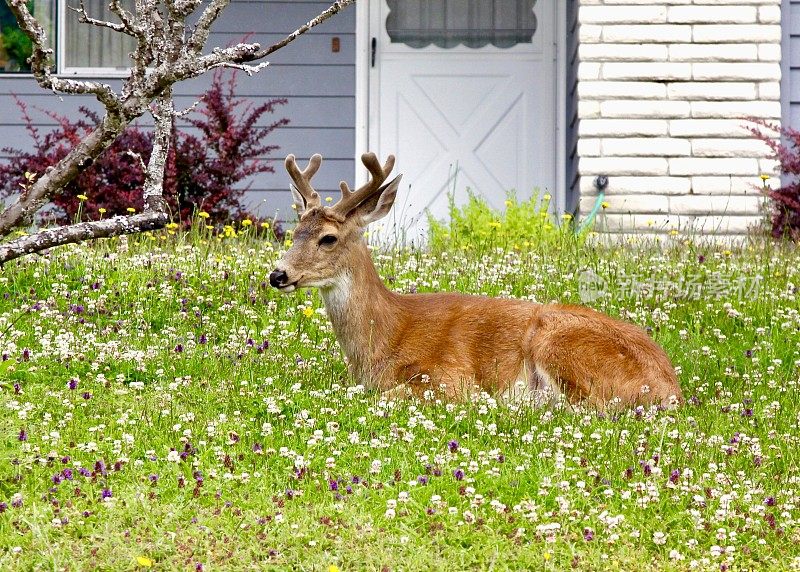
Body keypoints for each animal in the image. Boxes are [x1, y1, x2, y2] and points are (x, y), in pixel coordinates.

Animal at [270, 153, 680, 406]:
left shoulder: (450, 377)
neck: (384, 339)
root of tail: (669, 387)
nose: (278, 274)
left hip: (558, 343)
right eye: (295, 232)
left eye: (328, 238)